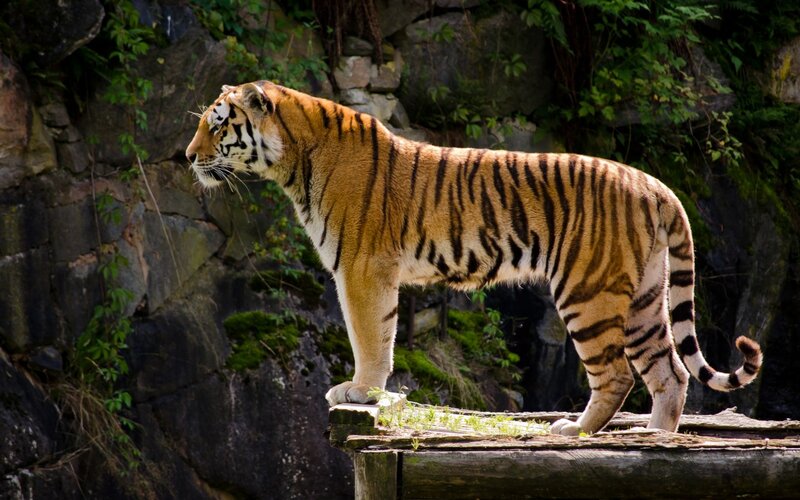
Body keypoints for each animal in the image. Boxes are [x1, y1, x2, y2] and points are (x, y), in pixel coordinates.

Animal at [185, 81, 762, 435]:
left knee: (619, 374)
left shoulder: (361, 268)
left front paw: (361, 391)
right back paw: (656, 437)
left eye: (217, 125)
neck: (293, 160)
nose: (188, 157)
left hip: (587, 291)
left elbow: (369, 335)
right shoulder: (371, 271)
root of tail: (654, 184)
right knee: (671, 373)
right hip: (644, 296)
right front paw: (369, 389)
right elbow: (383, 333)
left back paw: (575, 430)